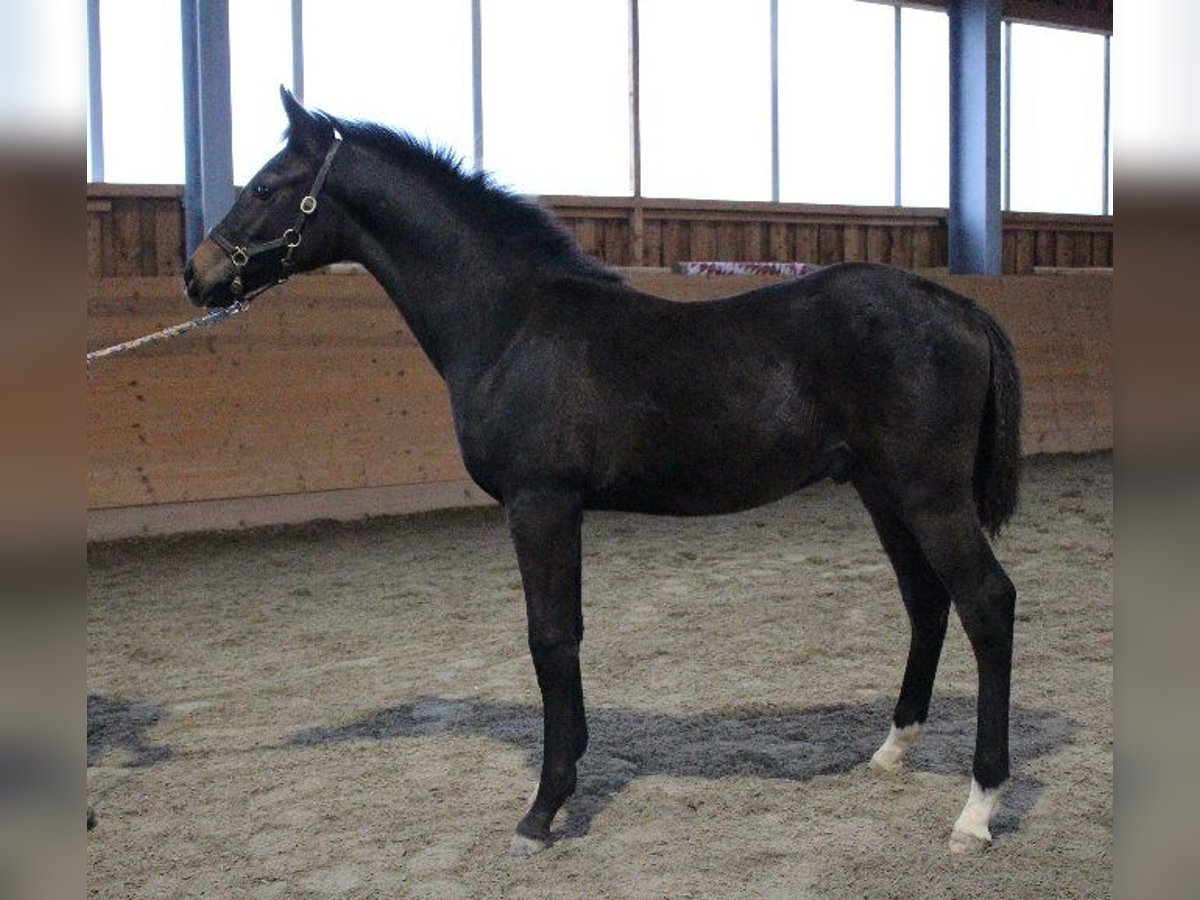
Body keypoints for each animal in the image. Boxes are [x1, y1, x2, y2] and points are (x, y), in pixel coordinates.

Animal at [184, 91, 1022, 859]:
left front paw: (542, 809)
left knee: (986, 602)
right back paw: (892, 750)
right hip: (883, 493)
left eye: (267, 185)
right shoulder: (563, 509)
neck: (511, 321)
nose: (196, 275)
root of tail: (963, 309)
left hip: (929, 496)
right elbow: (569, 635)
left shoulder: (540, 503)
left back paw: (977, 810)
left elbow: (549, 639)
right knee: (926, 601)